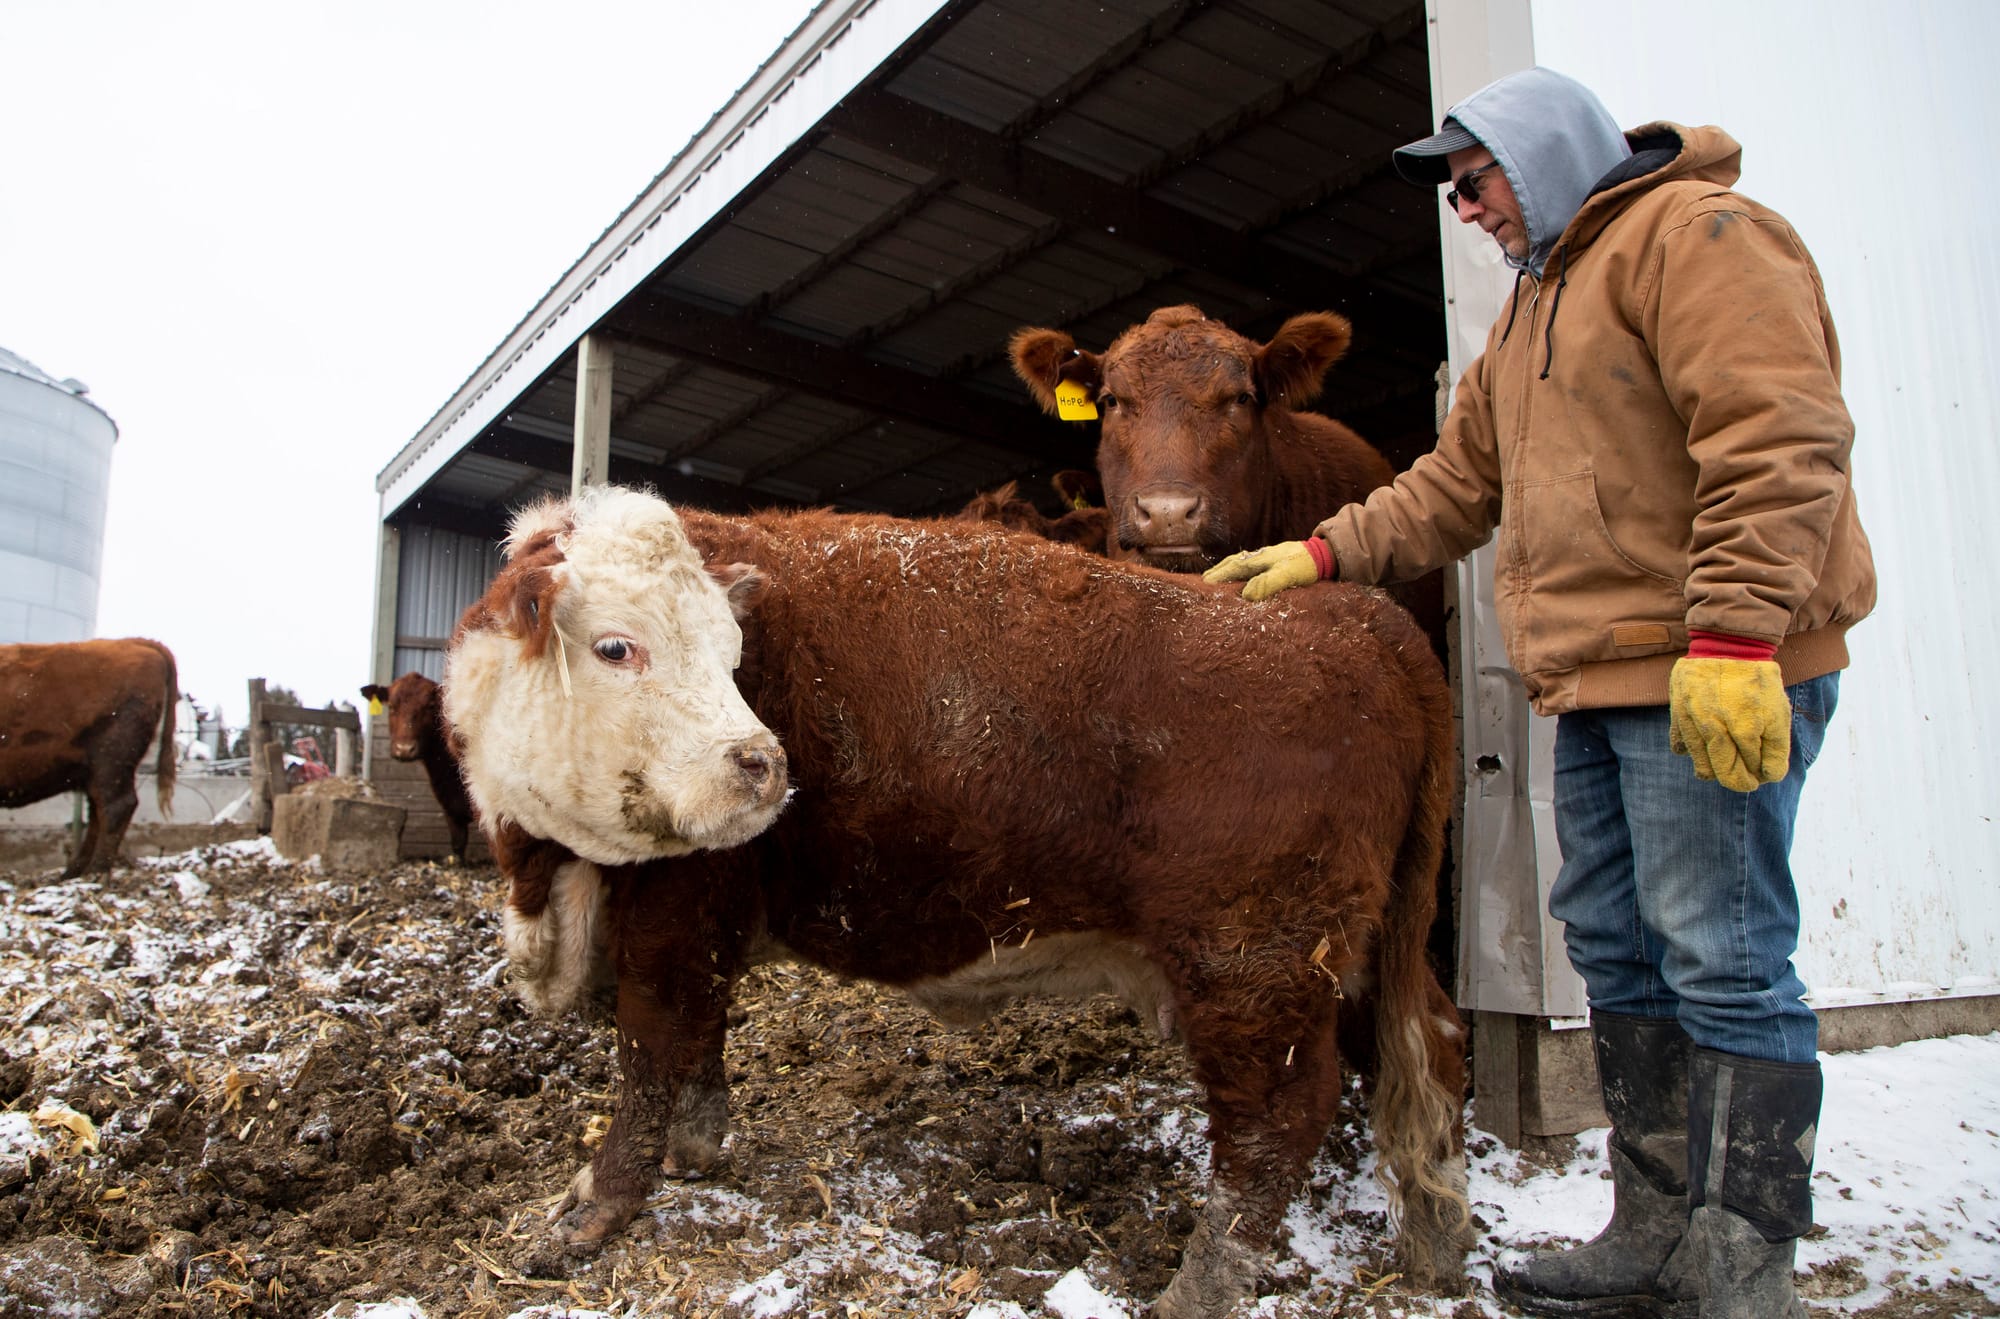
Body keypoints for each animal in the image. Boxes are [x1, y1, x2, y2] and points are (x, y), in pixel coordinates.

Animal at [0, 638, 178, 877]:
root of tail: (133, 642)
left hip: (111, 763)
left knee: (116, 806)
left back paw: (95, 871)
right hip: (96, 773)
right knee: (97, 812)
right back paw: (73, 872)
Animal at [445, 486, 1470, 1318]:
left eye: (734, 658)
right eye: (617, 646)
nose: (764, 764)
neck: (547, 877)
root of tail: (1354, 612)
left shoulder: (678, 906)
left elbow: (652, 1050)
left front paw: (594, 1208)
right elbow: (696, 1039)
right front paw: (699, 1144)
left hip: (1254, 960)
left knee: (1275, 1123)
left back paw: (1200, 1285)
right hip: (1354, 949)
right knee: (1430, 1045)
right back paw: (1440, 1231)